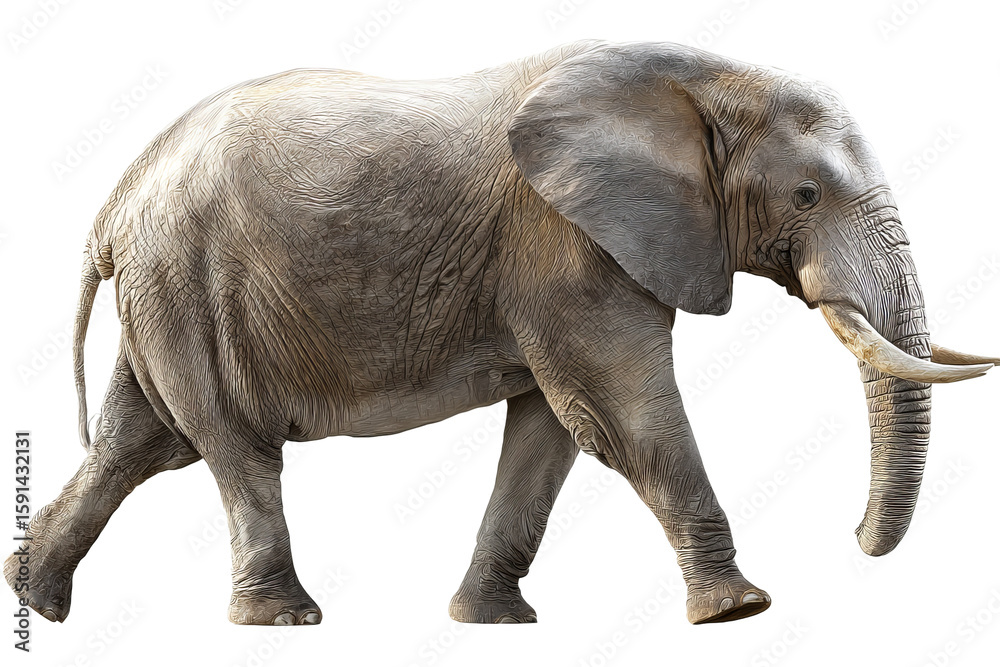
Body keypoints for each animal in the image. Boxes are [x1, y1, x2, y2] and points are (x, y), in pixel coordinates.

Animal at [6, 39, 998, 628]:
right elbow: (622, 413)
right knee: (231, 444)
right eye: (806, 195)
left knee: (138, 442)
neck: (697, 78)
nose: (854, 536)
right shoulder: (565, 244)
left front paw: (489, 623)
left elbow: (552, 430)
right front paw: (738, 612)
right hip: (190, 284)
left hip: (169, 292)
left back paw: (36, 601)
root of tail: (116, 201)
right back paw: (284, 621)